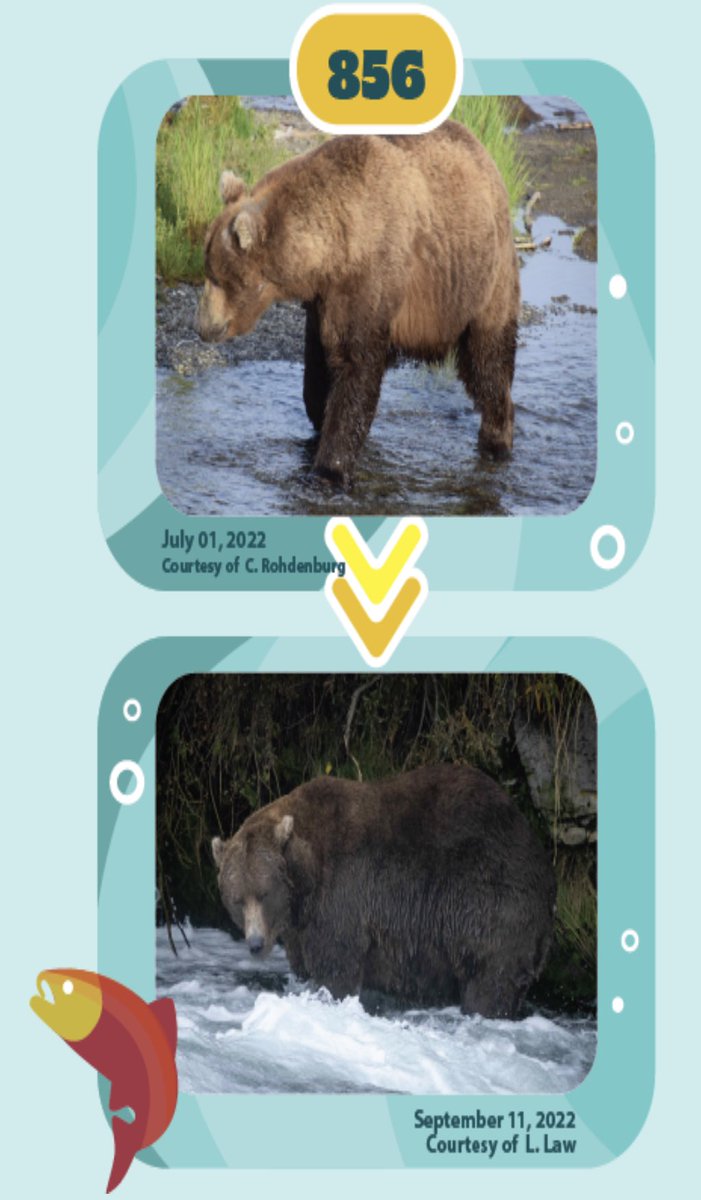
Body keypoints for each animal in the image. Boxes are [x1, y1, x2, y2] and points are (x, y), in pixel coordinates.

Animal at [197, 120, 520, 487]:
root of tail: (484, 154)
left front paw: (329, 467)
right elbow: (319, 360)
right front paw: (319, 415)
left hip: (484, 278)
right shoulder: (323, 297)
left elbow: (356, 365)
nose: (202, 326)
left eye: (218, 276)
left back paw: (496, 440)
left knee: (487, 360)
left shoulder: (369, 278)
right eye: (207, 268)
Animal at [211, 764, 554, 1019]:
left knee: (490, 976)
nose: (256, 944)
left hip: (489, 899)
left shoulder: (342, 894)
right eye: (237, 900)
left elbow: (337, 964)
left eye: (264, 893)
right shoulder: (300, 925)